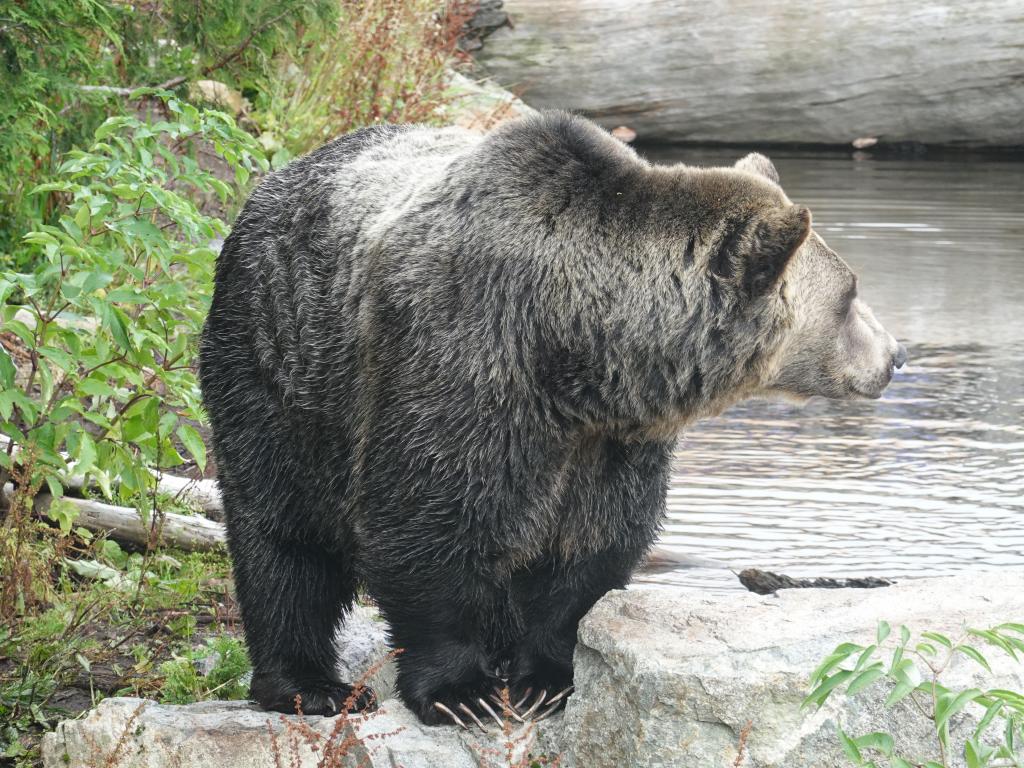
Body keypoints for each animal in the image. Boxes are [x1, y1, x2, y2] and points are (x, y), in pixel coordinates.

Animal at [197, 112, 905, 729]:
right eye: (850, 294)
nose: (895, 355)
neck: (572, 347)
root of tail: (274, 180)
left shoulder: (611, 438)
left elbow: (594, 543)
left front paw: (547, 678)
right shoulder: (460, 359)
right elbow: (424, 522)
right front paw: (463, 691)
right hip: (280, 364)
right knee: (282, 534)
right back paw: (308, 685)